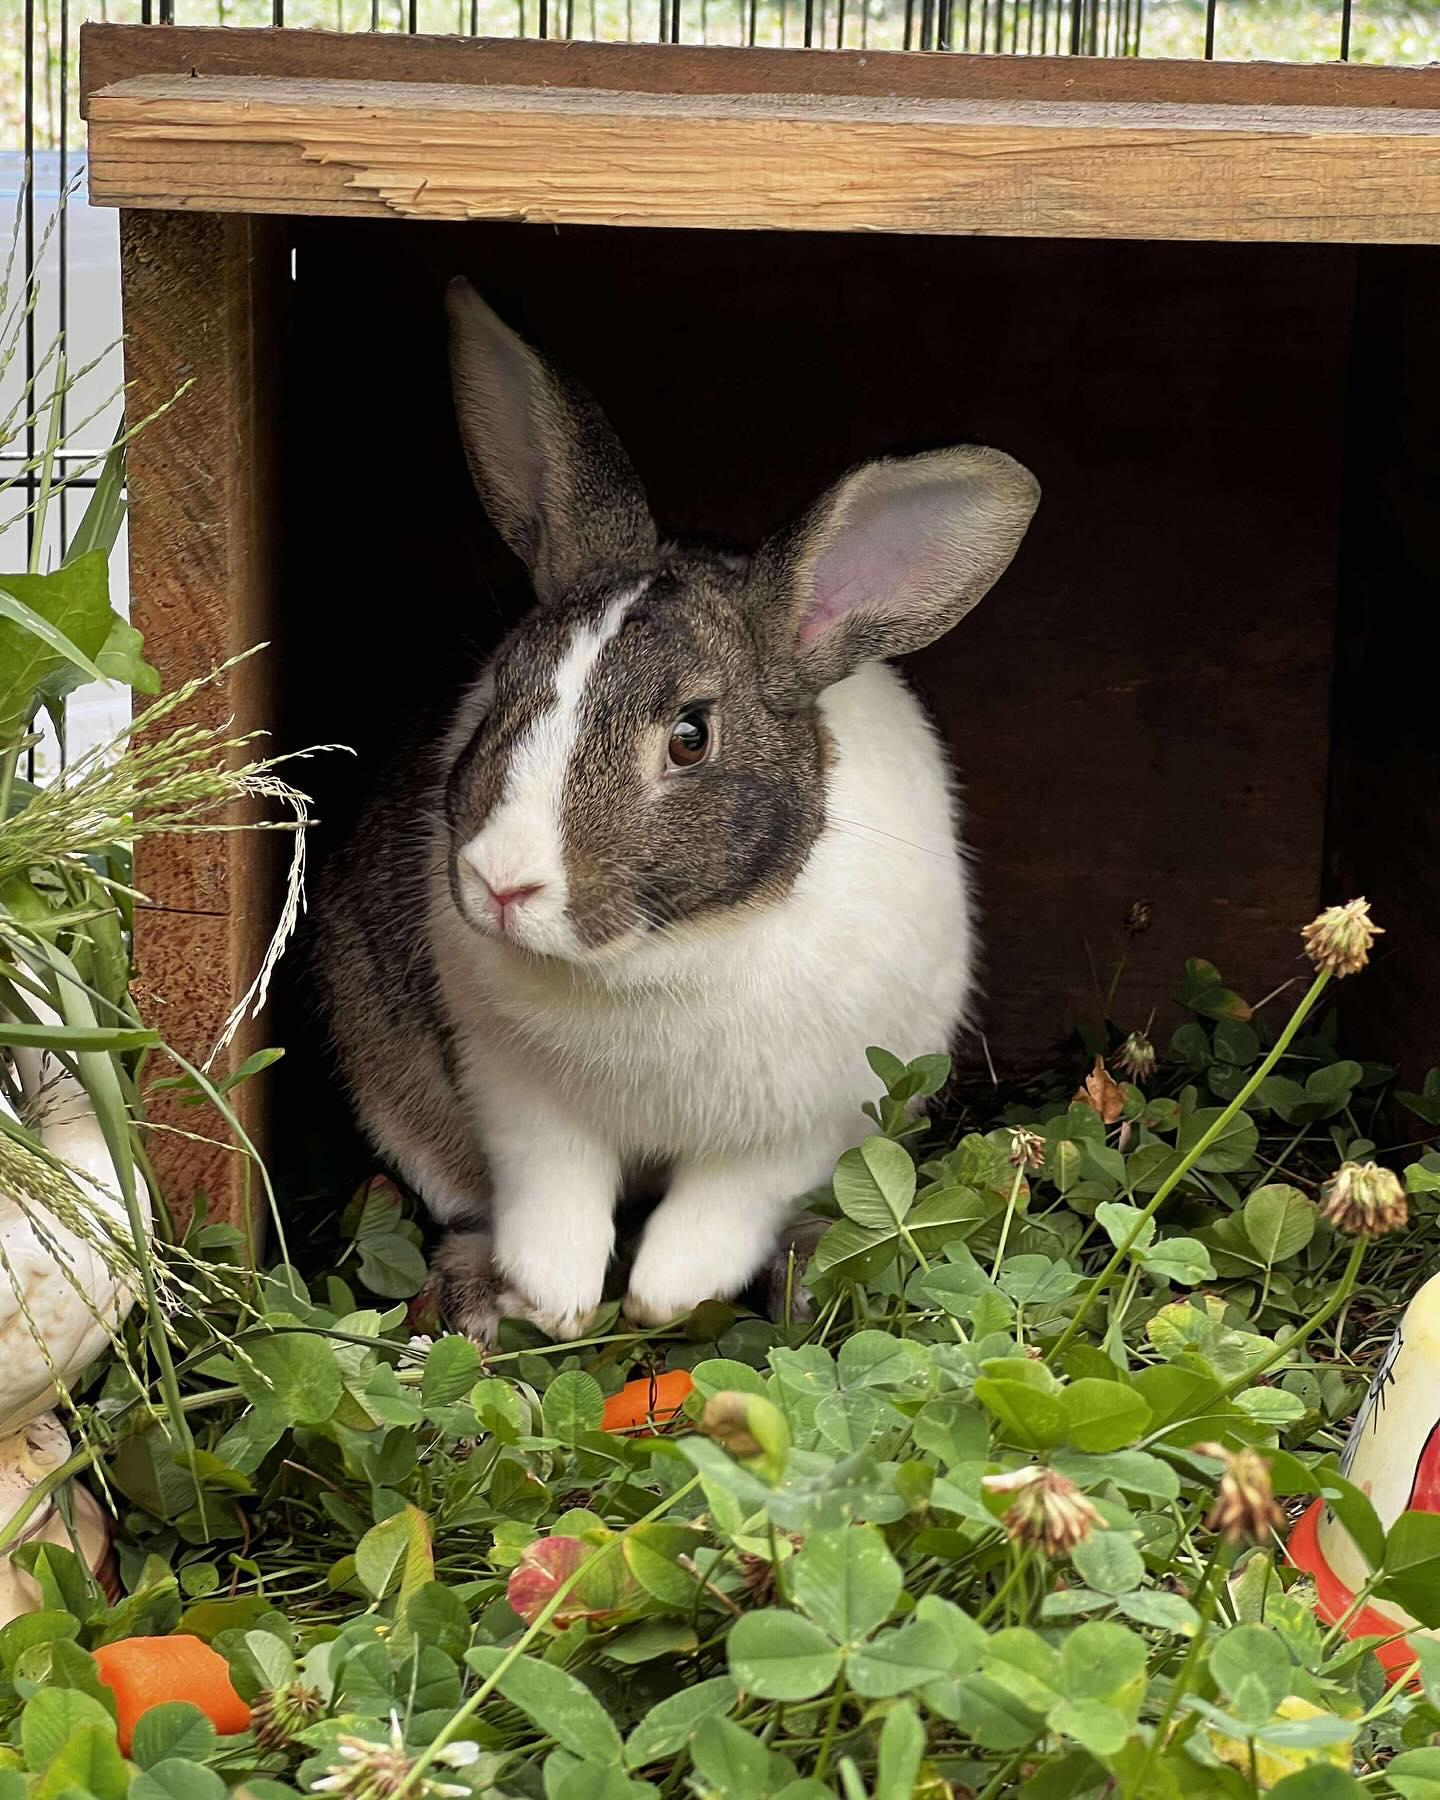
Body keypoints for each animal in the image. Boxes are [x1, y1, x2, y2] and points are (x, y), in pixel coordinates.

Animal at [312, 278, 1038, 1343]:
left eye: (690, 737)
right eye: (497, 693)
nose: (501, 884)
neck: (659, 956)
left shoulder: (800, 1126)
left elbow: (715, 1218)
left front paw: (659, 1300)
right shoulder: (519, 1099)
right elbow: (555, 1202)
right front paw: (558, 1305)